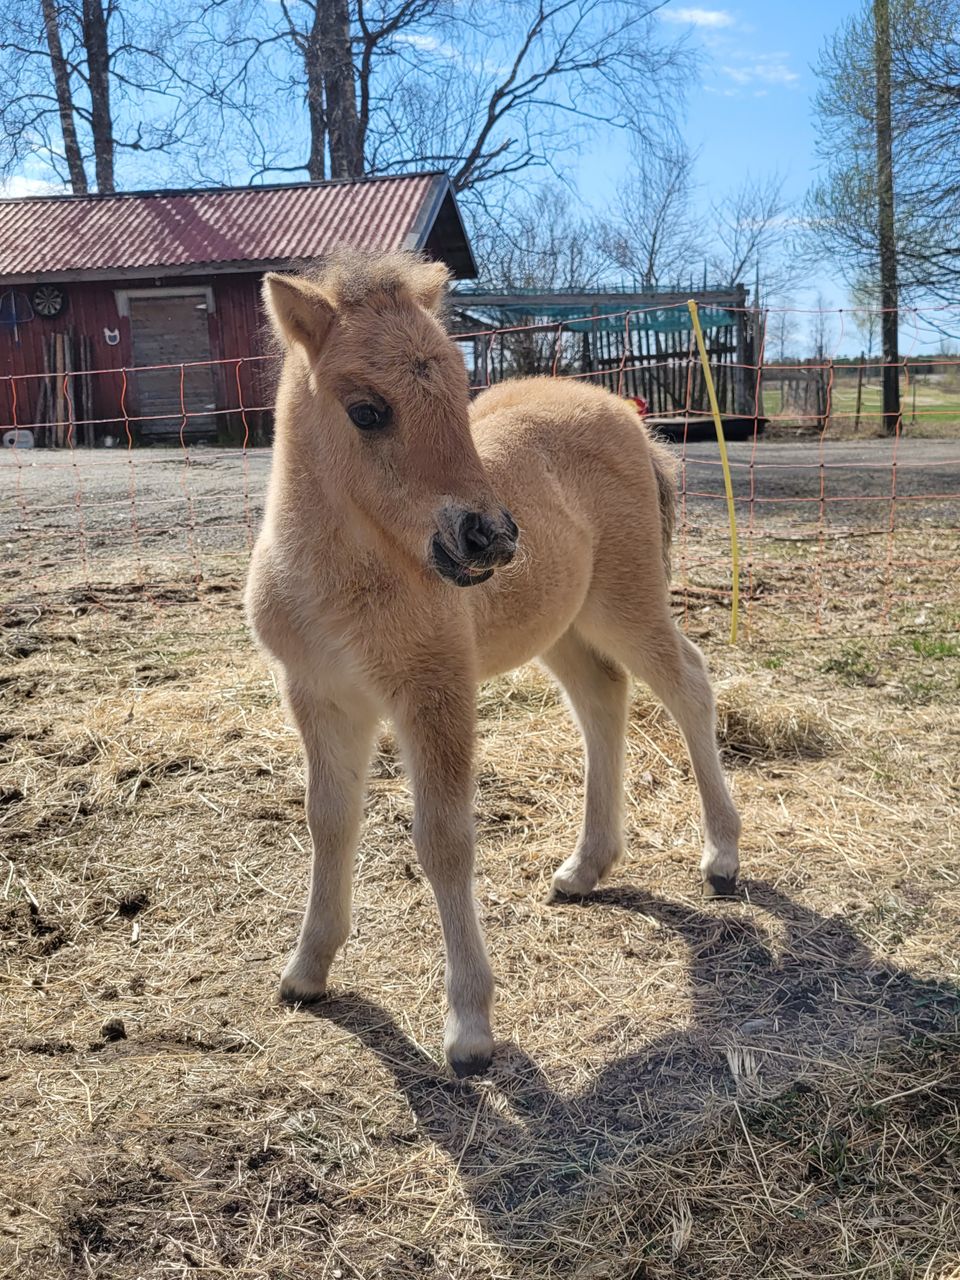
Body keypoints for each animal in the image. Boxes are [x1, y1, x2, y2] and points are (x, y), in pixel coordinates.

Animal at [248, 247, 742, 1070]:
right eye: (367, 410)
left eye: (458, 385)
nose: (491, 537)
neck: (344, 580)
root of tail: (627, 418)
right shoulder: (319, 696)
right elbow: (329, 820)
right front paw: (307, 970)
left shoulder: (435, 691)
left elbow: (444, 840)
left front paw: (470, 1027)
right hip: (563, 627)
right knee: (603, 698)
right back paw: (586, 867)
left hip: (625, 602)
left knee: (687, 685)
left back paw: (723, 857)